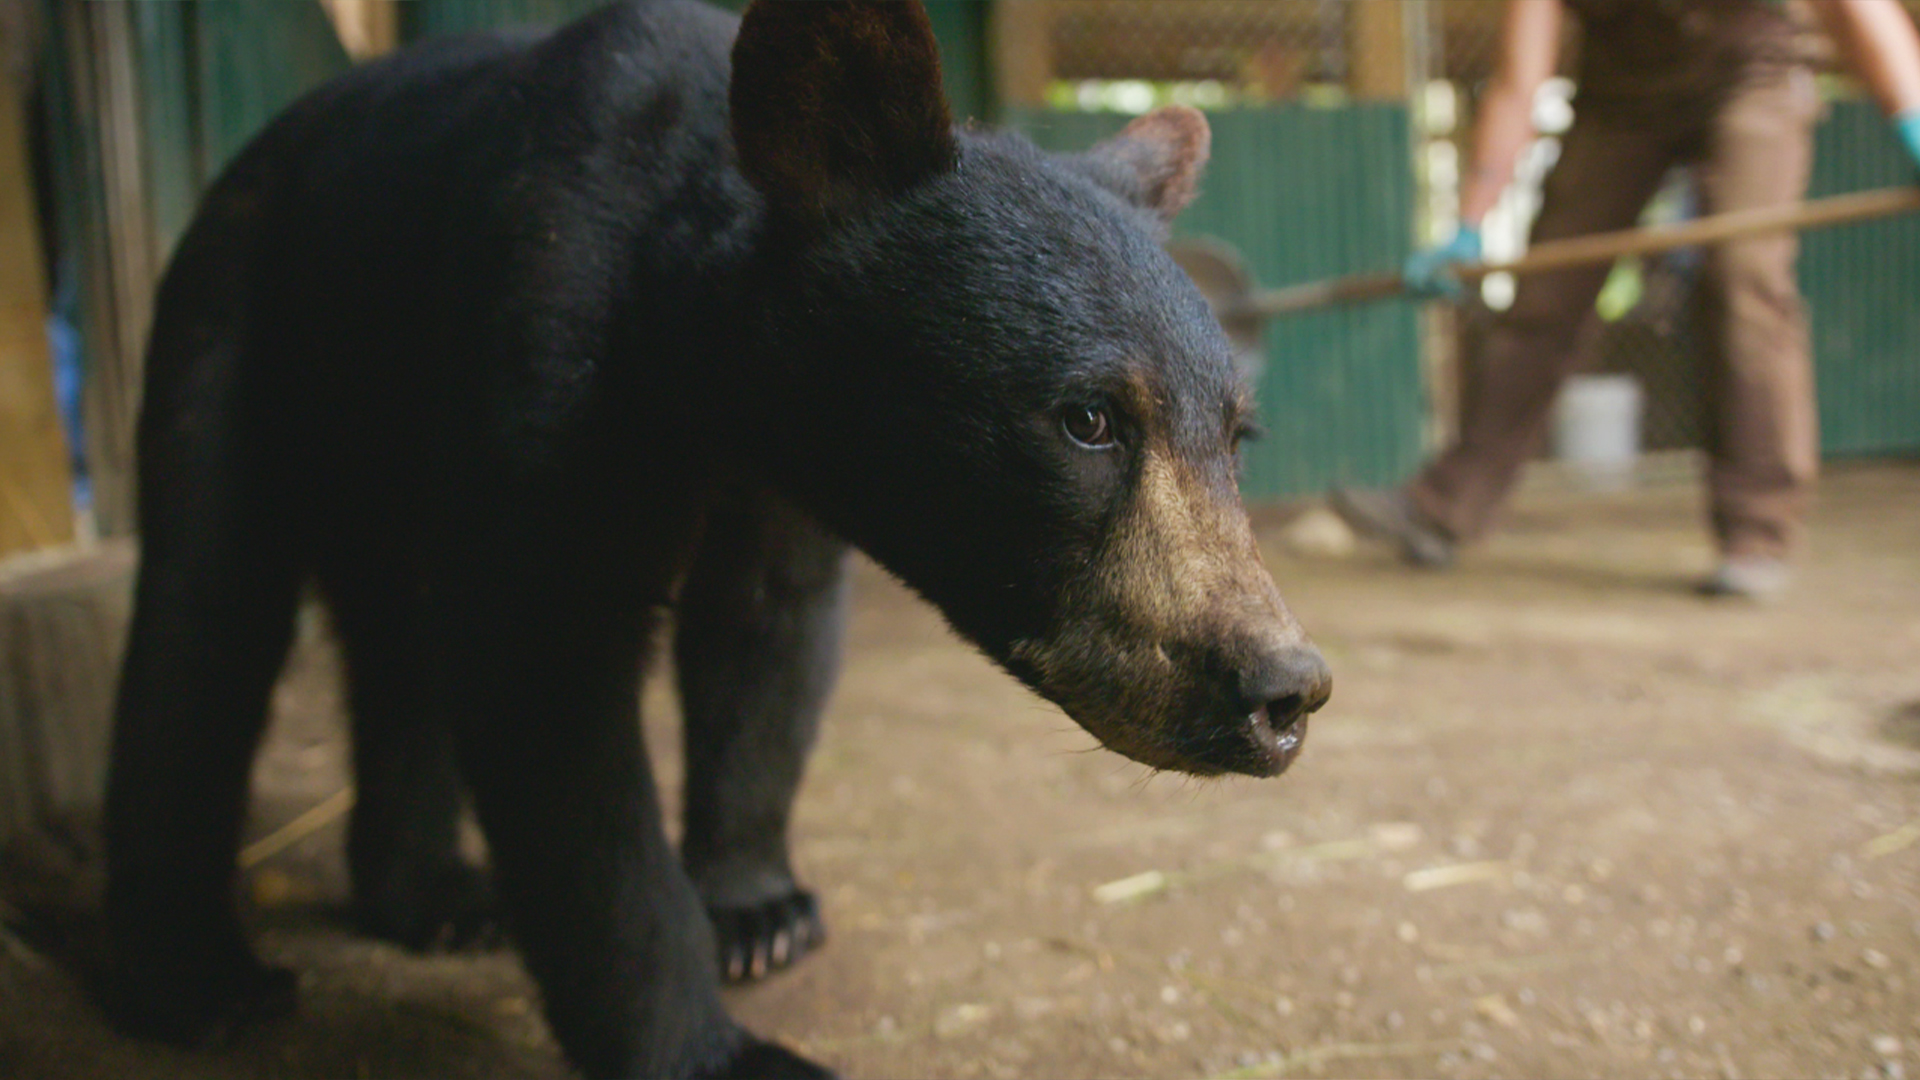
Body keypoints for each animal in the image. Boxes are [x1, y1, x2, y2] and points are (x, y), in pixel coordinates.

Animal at [101, 2, 1336, 1076]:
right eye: (1087, 419)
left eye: (1238, 432)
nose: (1282, 690)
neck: (707, 377)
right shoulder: (546, 346)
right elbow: (554, 699)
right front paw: (717, 1046)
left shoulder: (779, 487)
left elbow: (767, 643)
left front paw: (757, 911)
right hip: (237, 322)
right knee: (205, 616)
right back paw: (199, 980)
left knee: (396, 638)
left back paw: (433, 897)